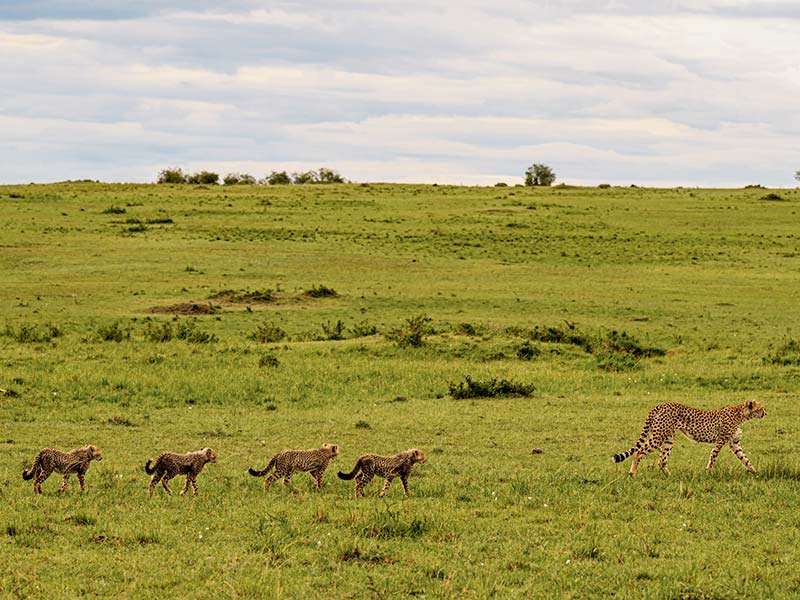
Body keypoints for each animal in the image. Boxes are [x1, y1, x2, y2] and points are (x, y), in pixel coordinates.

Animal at [612, 398, 768, 478]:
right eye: (761, 408)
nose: (766, 413)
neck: (741, 415)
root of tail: (661, 405)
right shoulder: (721, 441)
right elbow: (713, 456)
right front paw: (708, 473)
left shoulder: (734, 443)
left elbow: (745, 458)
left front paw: (755, 472)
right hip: (658, 436)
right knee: (640, 452)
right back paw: (632, 473)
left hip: (668, 438)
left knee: (661, 460)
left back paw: (670, 476)